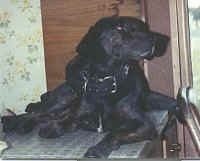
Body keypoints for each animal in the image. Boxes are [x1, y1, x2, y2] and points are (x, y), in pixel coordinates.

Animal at [1, 16, 184, 157]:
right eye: (119, 27)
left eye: (144, 28)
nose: (156, 40)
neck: (108, 81)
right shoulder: (79, 112)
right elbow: (68, 120)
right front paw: (55, 127)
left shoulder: (144, 125)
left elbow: (115, 132)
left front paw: (99, 148)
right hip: (65, 97)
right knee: (39, 112)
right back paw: (14, 121)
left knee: (45, 115)